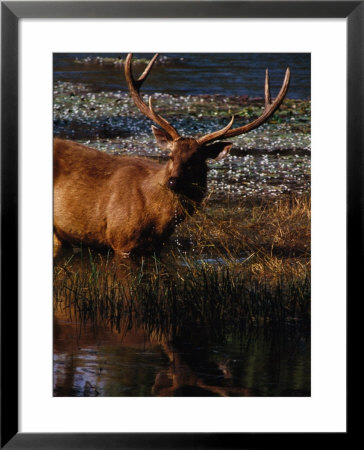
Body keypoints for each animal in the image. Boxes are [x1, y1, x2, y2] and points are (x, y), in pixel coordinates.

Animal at [53, 53, 290, 256]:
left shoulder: (157, 247)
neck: (157, 220)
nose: (173, 182)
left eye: (196, 160)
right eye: (170, 156)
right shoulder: (120, 239)